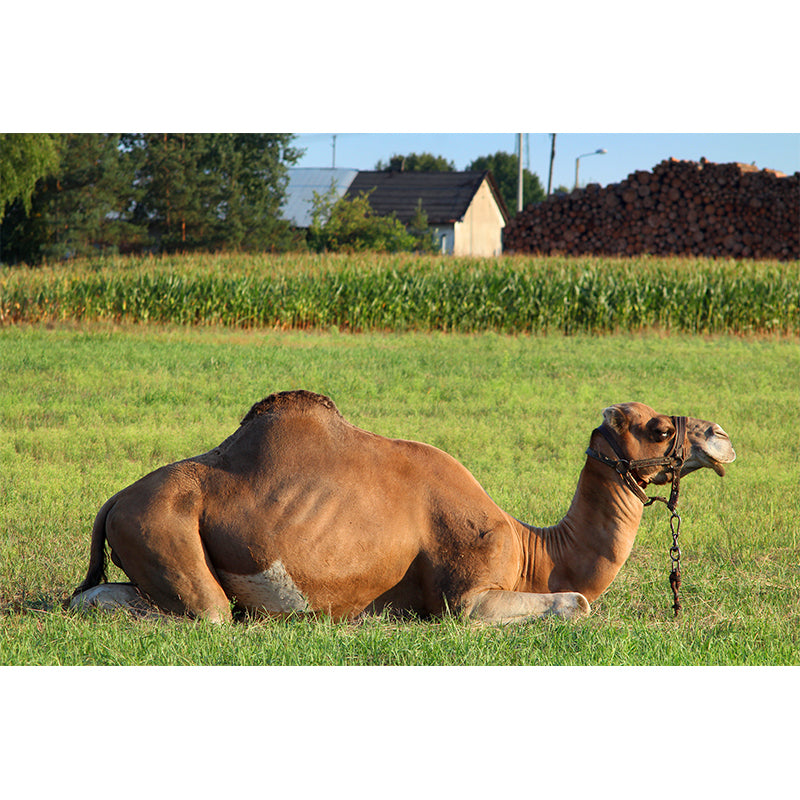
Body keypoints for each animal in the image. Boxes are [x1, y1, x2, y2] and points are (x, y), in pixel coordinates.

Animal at [71, 391, 735, 624]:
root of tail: (114, 499)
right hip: (162, 525)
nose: (721, 435)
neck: (532, 550)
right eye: (657, 429)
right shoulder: (465, 596)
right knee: (208, 612)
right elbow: (576, 603)